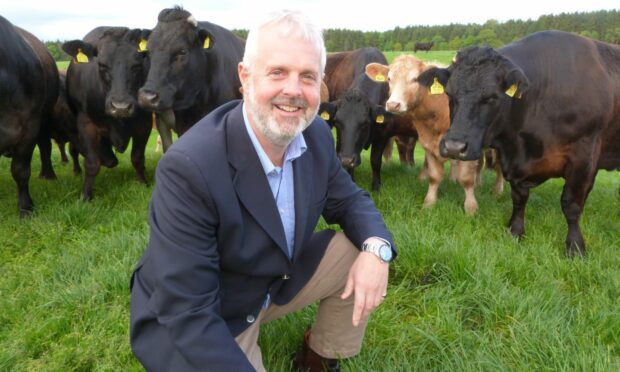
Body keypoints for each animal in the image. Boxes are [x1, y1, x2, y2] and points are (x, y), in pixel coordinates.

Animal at [0, 16, 58, 215]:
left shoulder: (29, 128)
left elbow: (21, 170)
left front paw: (26, 207)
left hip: (45, 118)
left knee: (46, 146)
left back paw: (48, 174)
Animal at [62, 26, 152, 201]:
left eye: (137, 65)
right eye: (102, 65)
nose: (121, 107)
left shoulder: (145, 124)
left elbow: (137, 158)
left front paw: (143, 183)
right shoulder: (86, 124)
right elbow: (92, 162)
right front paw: (86, 196)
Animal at [366, 54, 502, 214]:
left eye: (415, 79)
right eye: (389, 78)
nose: (393, 104)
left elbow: (466, 178)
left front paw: (471, 208)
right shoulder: (429, 144)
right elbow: (434, 176)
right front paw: (429, 203)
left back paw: (497, 190)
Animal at [416, 30, 620, 256]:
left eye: (491, 97)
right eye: (449, 94)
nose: (454, 147)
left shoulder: (583, 157)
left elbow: (572, 205)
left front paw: (575, 247)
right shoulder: (512, 158)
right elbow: (519, 198)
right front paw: (515, 231)